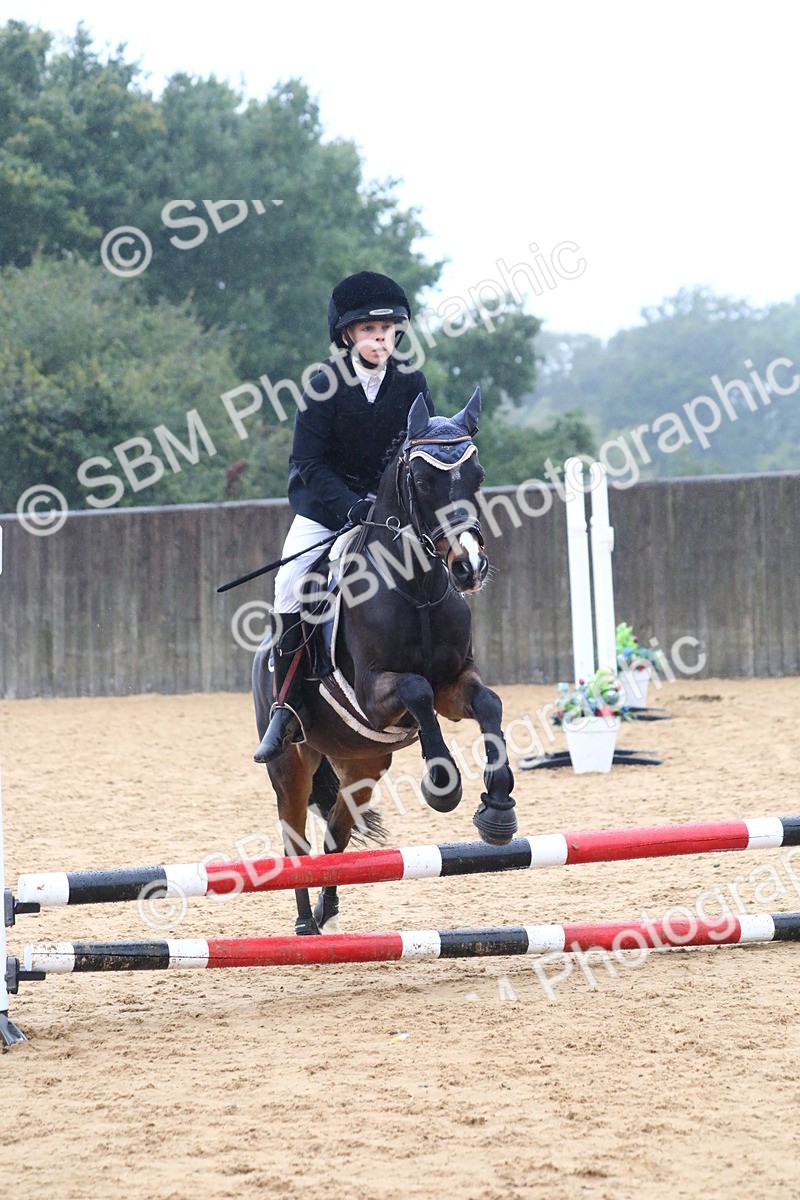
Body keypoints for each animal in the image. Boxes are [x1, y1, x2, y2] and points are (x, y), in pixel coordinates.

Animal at [252, 387, 517, 935]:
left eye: (477, 475)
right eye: (422, 480)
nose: (469, 567)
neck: (415, 588)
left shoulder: (454, 684)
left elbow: (489, 704)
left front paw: (498, 806)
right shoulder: (375, 694)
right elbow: (415, 688)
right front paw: (443, 784)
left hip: (362, 764)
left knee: (334, 837)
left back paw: (329, 912)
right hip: (291, 763)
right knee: (295, 842)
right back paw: (305, 924)